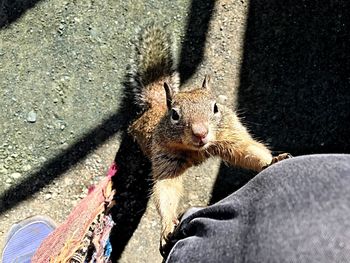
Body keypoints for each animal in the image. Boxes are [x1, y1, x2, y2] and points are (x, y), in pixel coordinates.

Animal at [124, 24, 292, 256]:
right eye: (174, 115)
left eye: (215, 107)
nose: (200, 132)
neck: (198, 150)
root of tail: (156, 104)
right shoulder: (165, 155)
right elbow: (166, 189)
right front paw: (167, 227)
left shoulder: (230, 136)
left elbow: (248, 151)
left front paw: (272, 161)